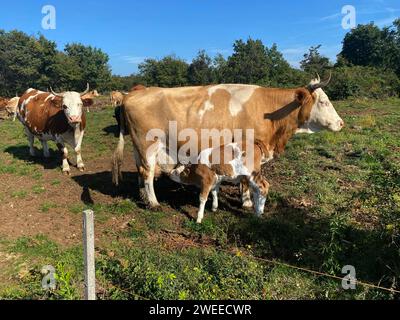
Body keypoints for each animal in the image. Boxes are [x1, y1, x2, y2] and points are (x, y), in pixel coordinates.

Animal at [112, 74, 344, 212]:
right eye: (324, 102)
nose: (341, 123)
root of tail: (131, 95)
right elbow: (246, 180)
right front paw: (248, 201)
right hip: (147, 144)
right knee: (147, 172)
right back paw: (153, 203)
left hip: (139, 148)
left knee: (142, 171)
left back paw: (143, 197)